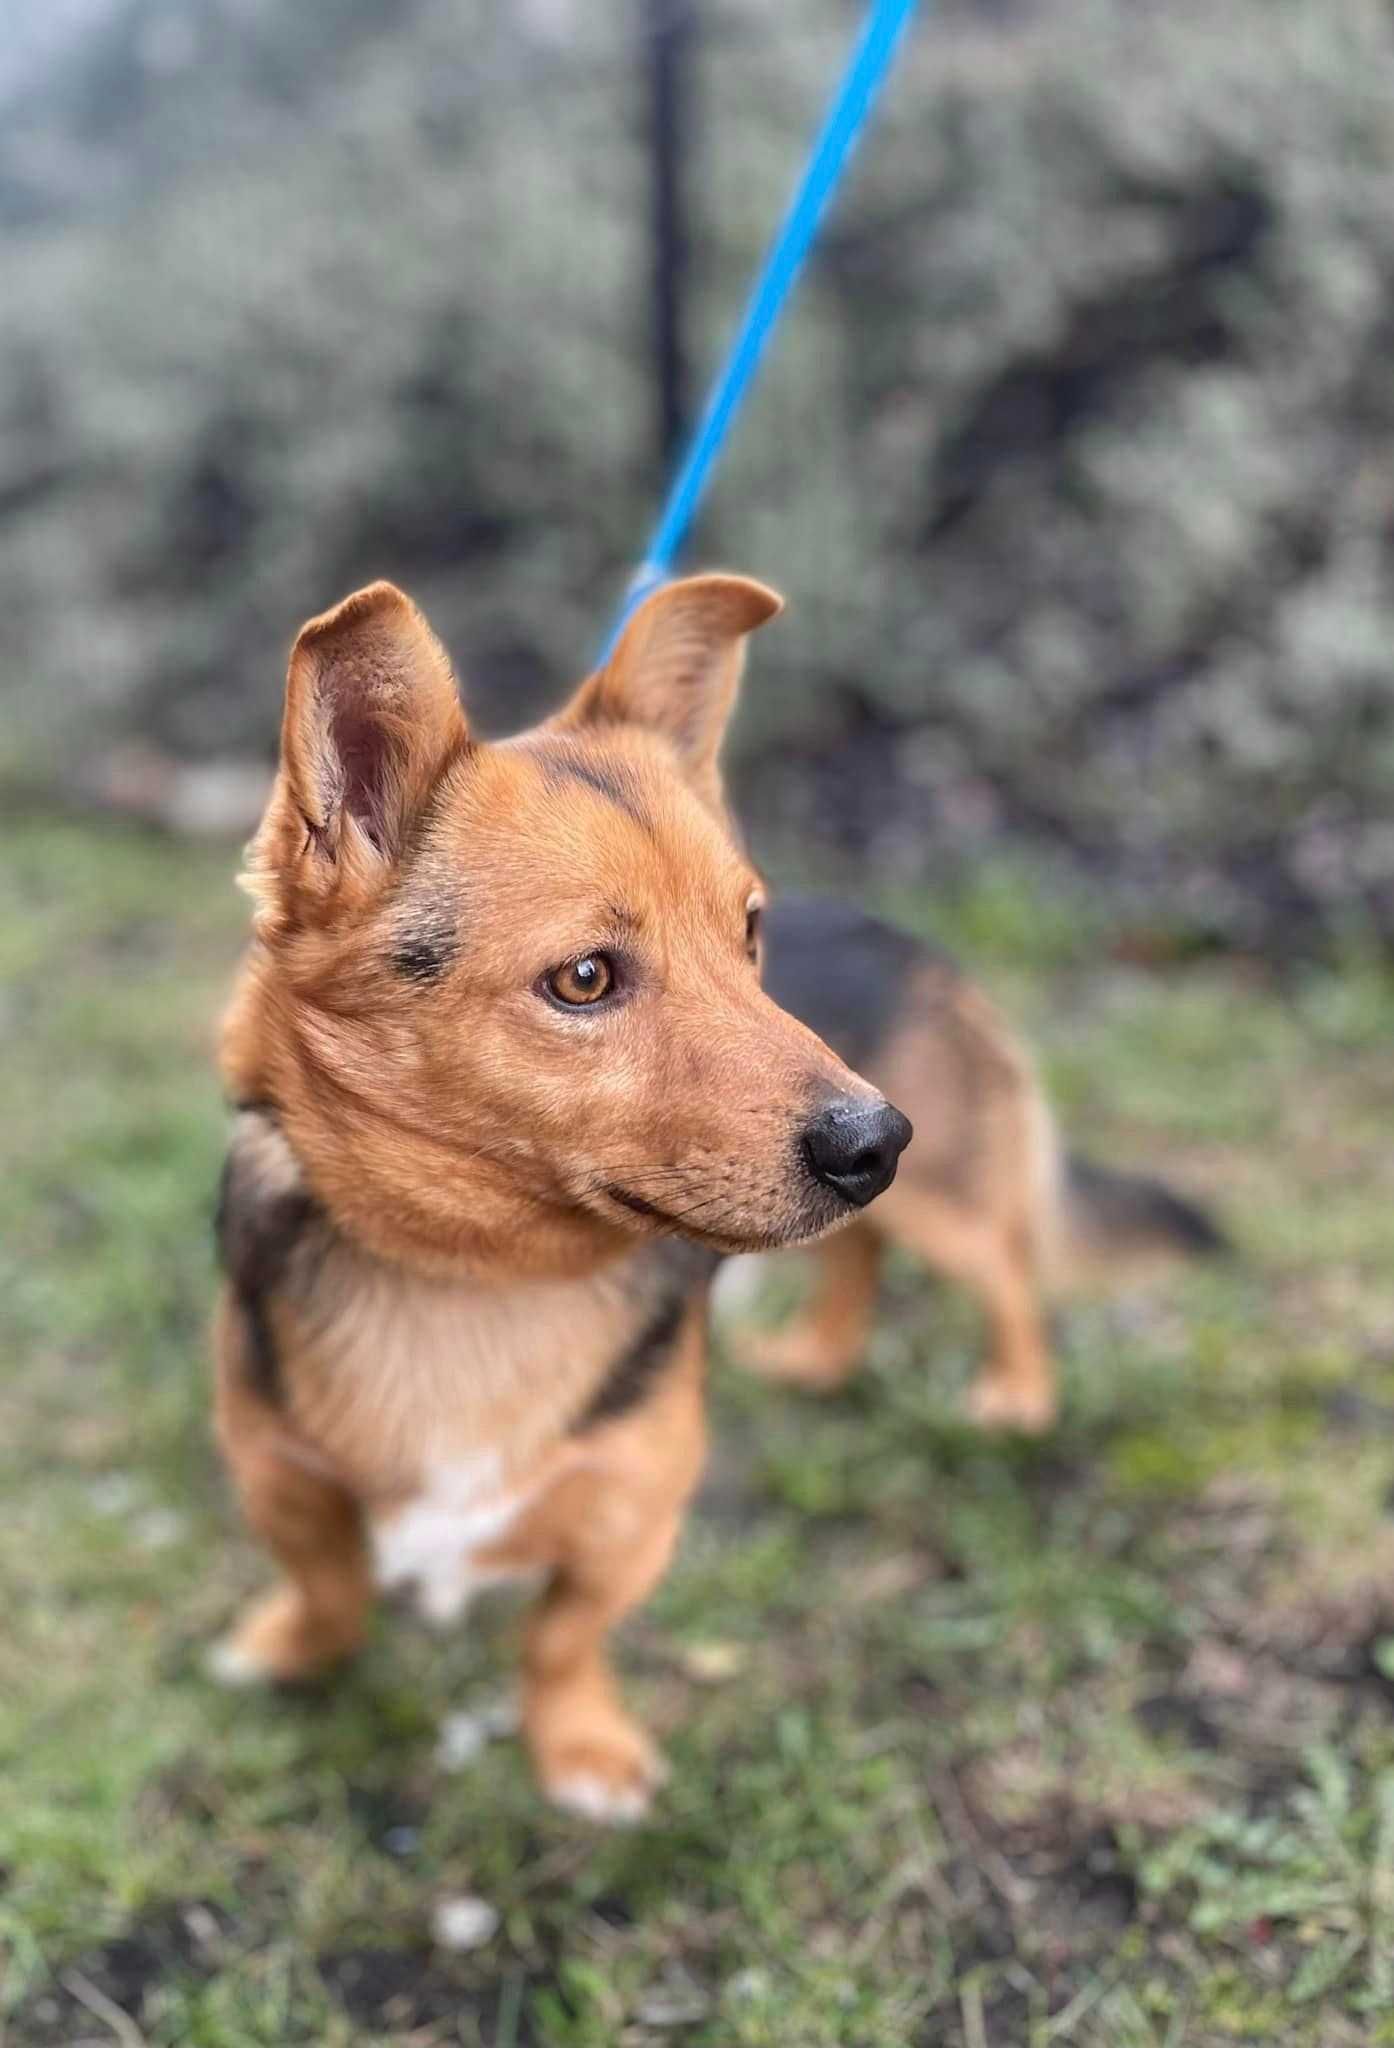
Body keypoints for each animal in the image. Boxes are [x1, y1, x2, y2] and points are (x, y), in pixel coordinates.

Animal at [206, 569, 908, 1818]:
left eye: (749, 933)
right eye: (584, 978)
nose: (878, 1143)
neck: (471, 1278)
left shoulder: (633, 1507)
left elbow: (559, 1638)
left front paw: (579, 1748)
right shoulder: (275, 1469)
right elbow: (331, 1579)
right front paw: (291, 1646)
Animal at [724, 888, 1220, 1433]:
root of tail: (929, 959)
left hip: (931, 1196)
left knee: (1006, 1275)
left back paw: (1019, 1399)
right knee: (858, 1264)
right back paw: (807, 1361)